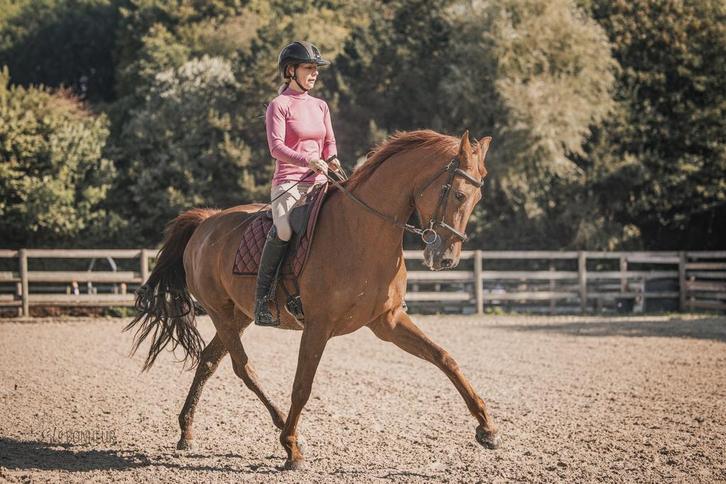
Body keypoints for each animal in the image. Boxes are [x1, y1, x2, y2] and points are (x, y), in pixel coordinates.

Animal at [125, 129, 499, 470]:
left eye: (477, 200)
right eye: (459, 193)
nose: (446, 259)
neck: (362, 231)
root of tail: (206, 222)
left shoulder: (387, 321)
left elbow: (444, 358)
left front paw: (487, 428)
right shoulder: (318, 326)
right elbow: (302, 386)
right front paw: (292, 450)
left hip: (239, 315)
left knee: (208, 361)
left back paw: (187, 432)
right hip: (221, 312)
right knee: (242, 366)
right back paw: (280, 428)